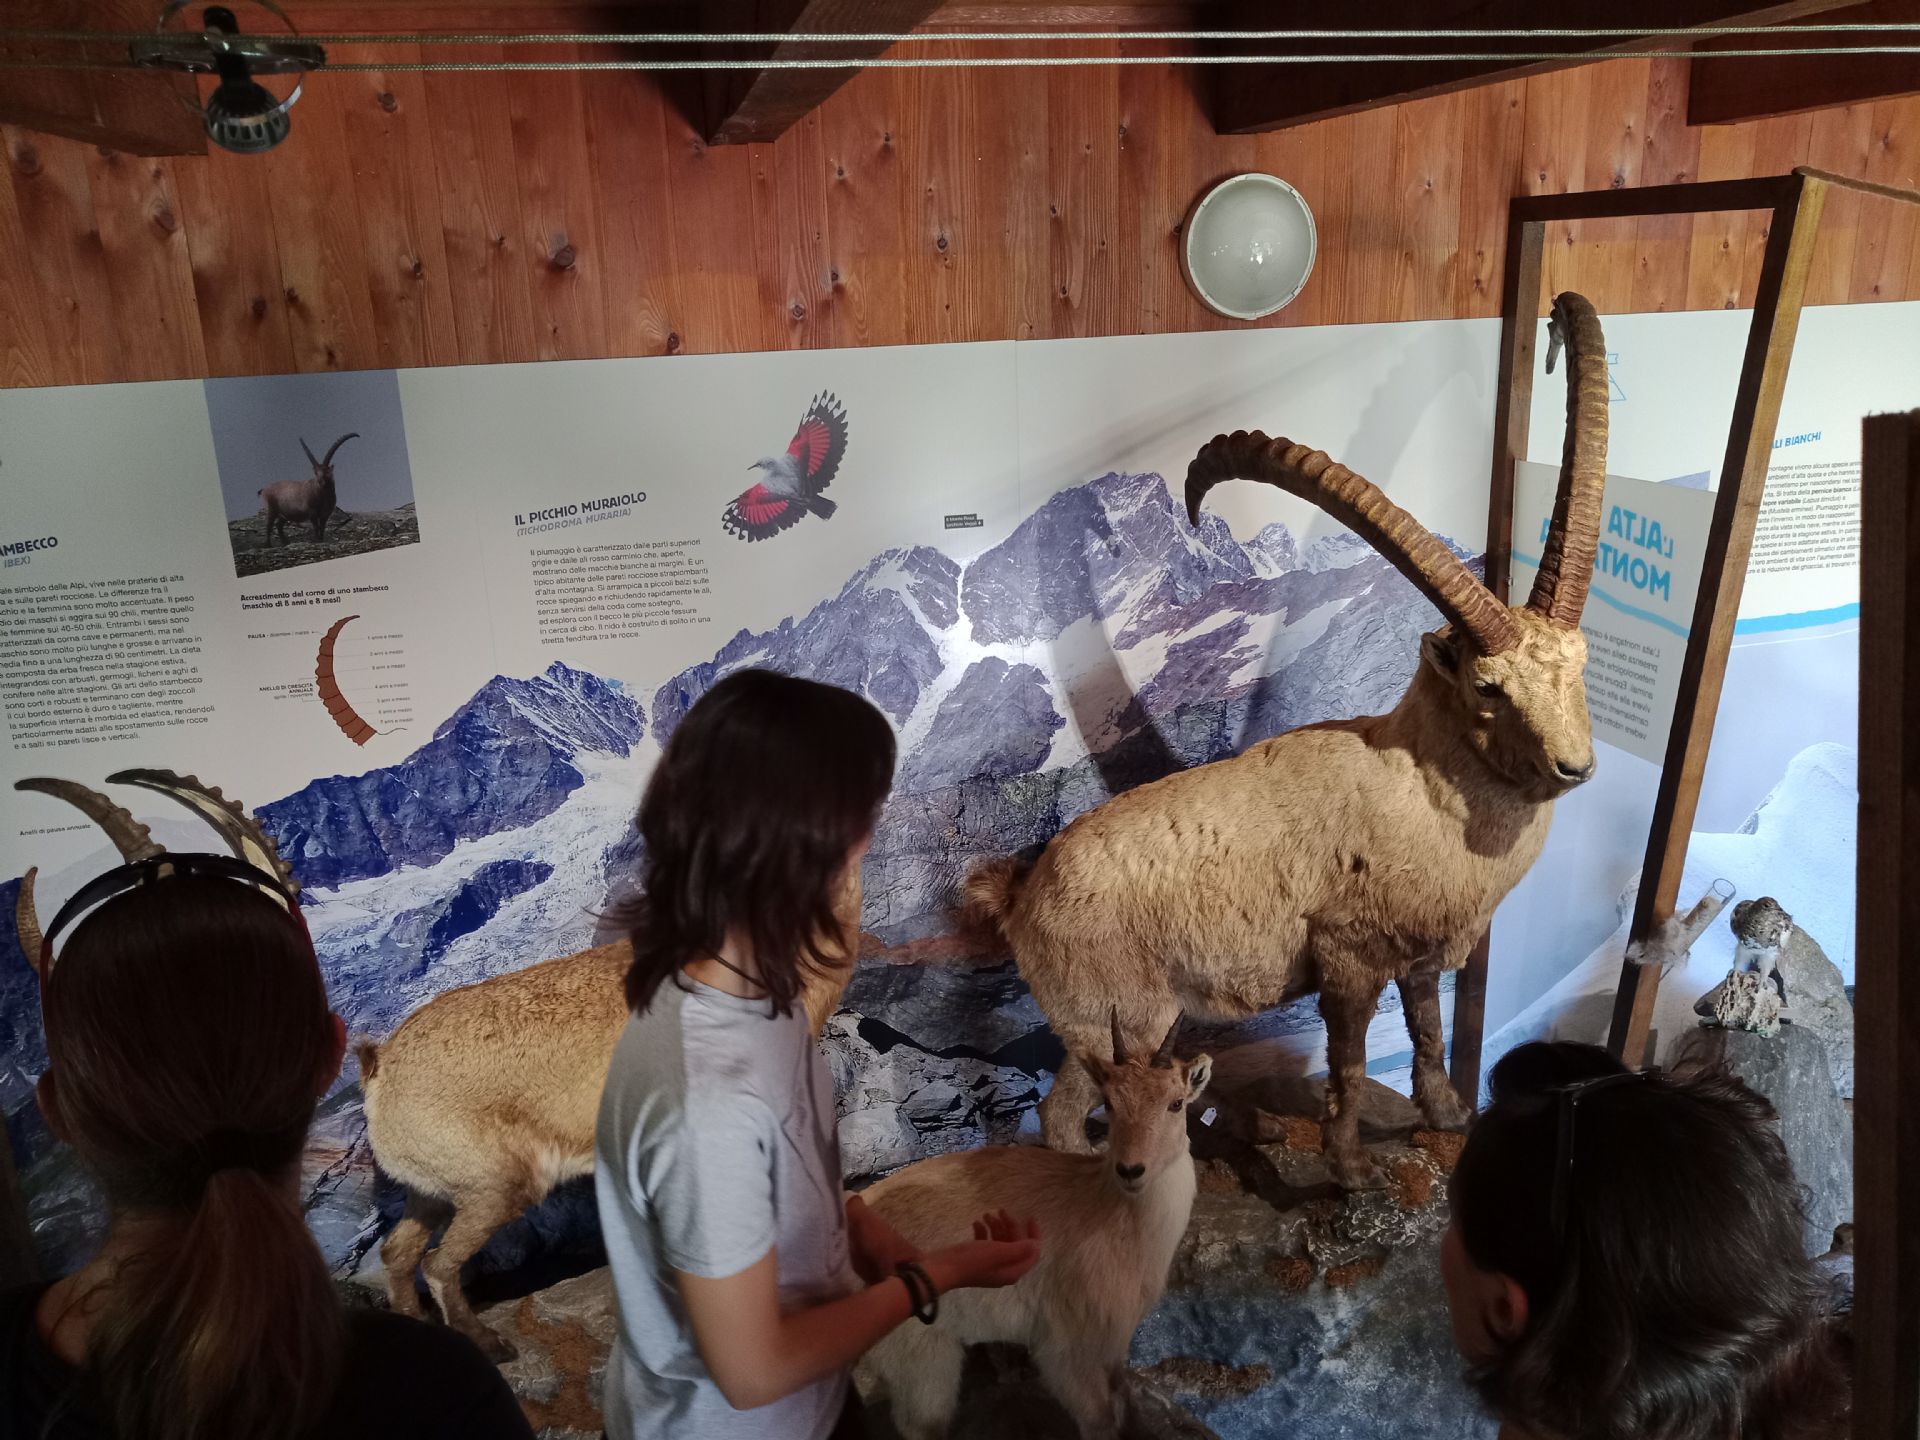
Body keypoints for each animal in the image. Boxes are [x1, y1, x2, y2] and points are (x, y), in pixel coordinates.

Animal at [861, 1015, 1210, 1440]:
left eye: (1176, 1103)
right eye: (1109, 1102)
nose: (1130, 1170)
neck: (1117, 1220)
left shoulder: (1111, 1352)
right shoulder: (1066, 1351)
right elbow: (1100, 1421)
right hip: (923, 1364)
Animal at [967, 292, 1610, 1189]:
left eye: (1581, 662)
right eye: (1487, 686)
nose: (1574, 766)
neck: (1424, 798)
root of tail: (1021, 896)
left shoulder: (1415, 957)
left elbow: (1427, 1030)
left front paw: (1447, 1115)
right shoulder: (1345, 958)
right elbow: (1348, 1061)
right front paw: (1348, 1168)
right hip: (1119, 1018)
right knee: (1060, 1118)